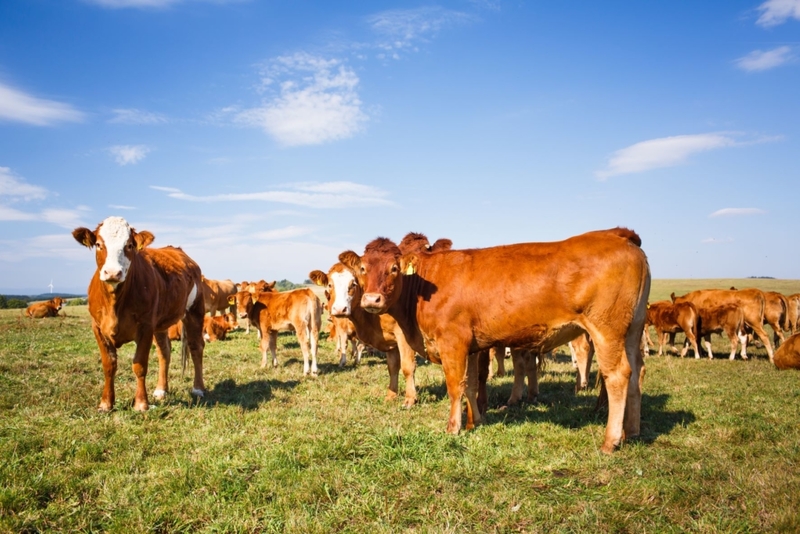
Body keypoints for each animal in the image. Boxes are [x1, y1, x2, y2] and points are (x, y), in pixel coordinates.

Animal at [72, 218, 206, 414]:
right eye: (98, 244)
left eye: (129, 245)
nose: (113, 273)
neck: (115, 304)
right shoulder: (97, 327)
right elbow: (109, 365)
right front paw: (106, 403)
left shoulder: (145, 326)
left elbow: (139, 365)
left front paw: (141, 403)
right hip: (161, 323)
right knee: (164, 351)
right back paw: (161, 390)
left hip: (194, 310)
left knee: (196, 347)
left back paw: (198, 388)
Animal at [340, 228, 648, 454]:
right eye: (363, 269)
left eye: (394, 268)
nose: (372, 300)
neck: (423, 286)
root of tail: (618, 235)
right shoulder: (471, 347)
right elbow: (471, 384)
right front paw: (476, 421)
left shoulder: (452, 342)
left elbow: (455, 386)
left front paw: (454, 427)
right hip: (632, 330)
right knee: (635, 373)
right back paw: (632, 432)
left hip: (607, 331)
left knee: (617, 376)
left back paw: (611, 440)